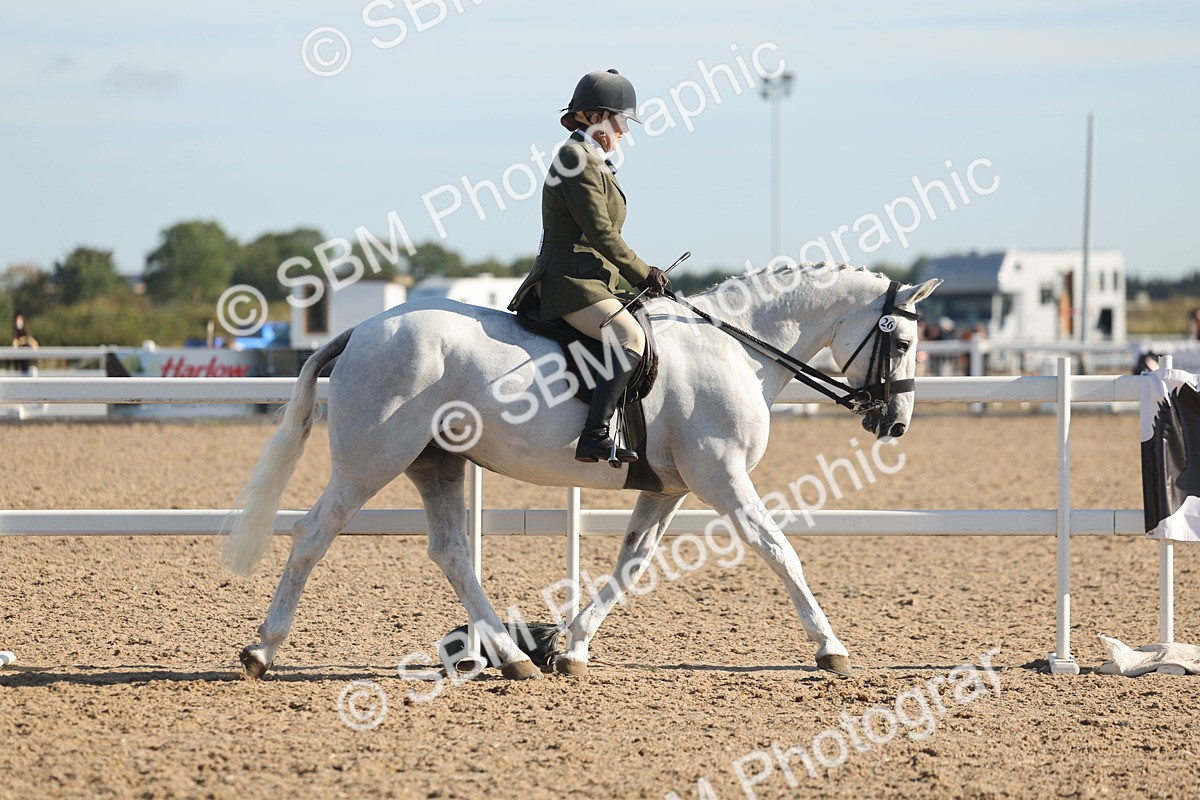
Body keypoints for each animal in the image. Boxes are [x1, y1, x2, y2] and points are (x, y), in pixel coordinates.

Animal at [223, 263, 941, 680]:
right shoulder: (723, 477)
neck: (734, 347)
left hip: (436, 464)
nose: (896, 423)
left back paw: (516, 659)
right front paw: (830, 648)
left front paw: (569, 648)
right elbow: (779, 550)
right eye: (904, 341)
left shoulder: (670, 489)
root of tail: (364, 330)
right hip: (371, 461)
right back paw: (261, 650)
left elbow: (631, 565)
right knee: (313, 534)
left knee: (451, 553)